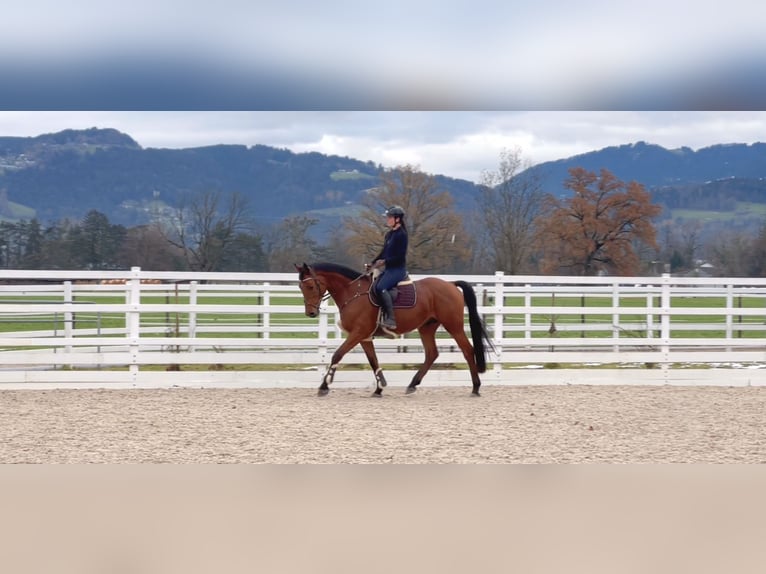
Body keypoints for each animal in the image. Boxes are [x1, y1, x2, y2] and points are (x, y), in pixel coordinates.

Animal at [294, 264, 492, 398]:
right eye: (300, 287)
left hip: (454, 326)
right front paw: (379, 387)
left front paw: (324, 386)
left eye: (310, 286)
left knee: (468, 350)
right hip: (427, 327)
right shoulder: (364, 337)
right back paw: (412, 384)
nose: (310, 313)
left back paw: (476, 387)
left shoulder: (357, 333)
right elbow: (373, 361)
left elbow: (337, 355)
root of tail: (450, 284)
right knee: (432, 354)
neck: (353, 293)